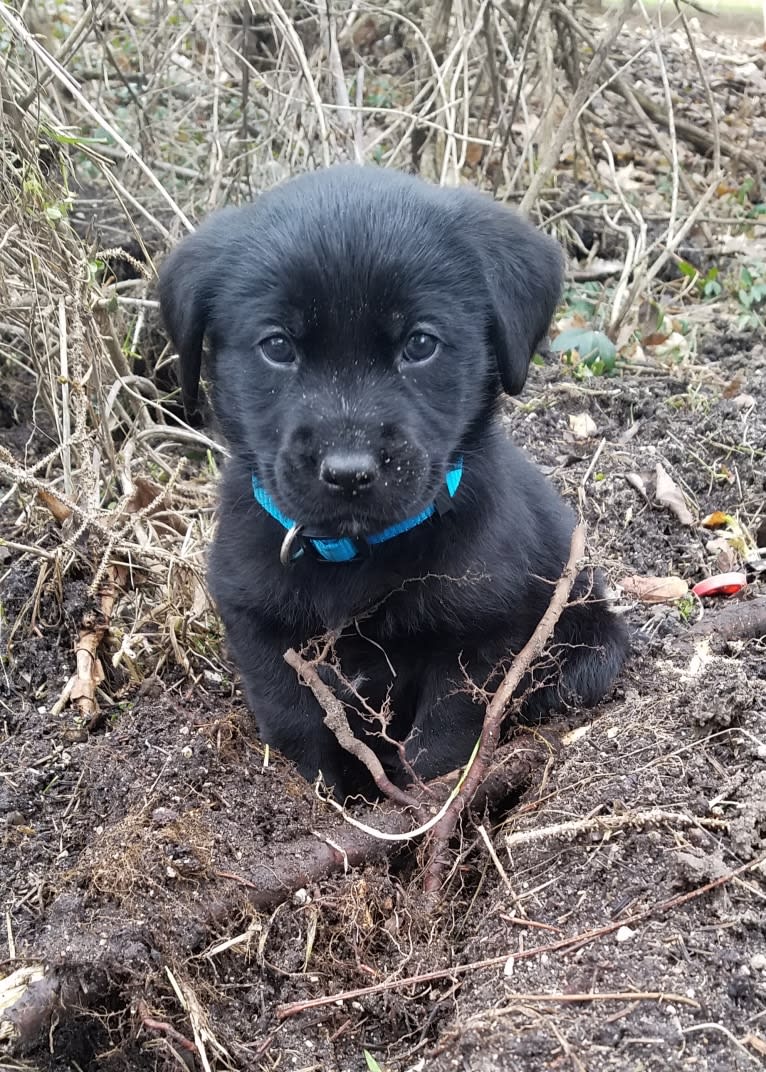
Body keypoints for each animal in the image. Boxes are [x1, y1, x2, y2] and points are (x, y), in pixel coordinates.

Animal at [160, 167, 629, 797]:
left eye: (421, 344)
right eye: (277, 346)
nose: (348, 472)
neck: (356, 552)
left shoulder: (483, 637)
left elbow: (444, 734)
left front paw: (420, 801)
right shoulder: (259, 627)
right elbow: (295, 724)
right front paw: (325, 799)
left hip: (590, 648)